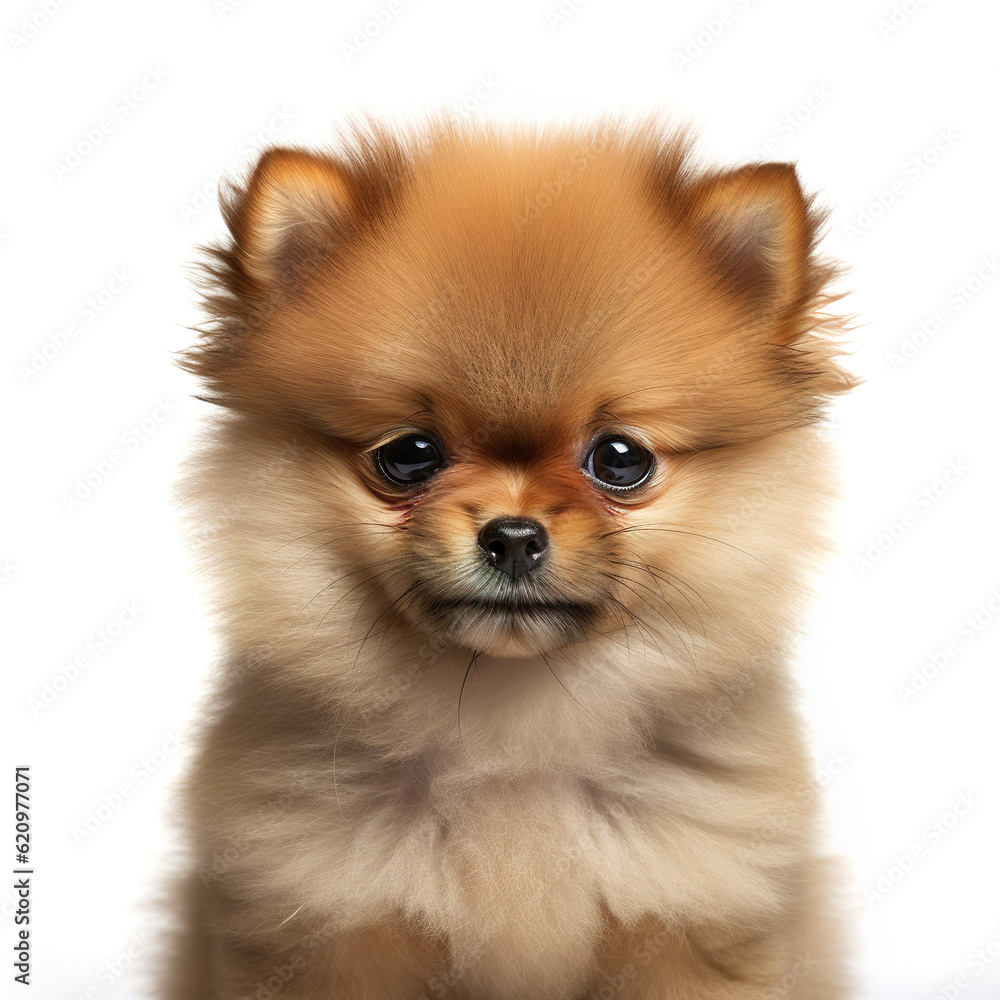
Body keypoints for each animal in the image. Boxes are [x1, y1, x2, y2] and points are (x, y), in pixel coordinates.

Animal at [160, 113, 856, 996]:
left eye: (620, 458)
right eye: (410, 454)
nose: (515, 535)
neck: (511, 745)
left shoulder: (687, 921)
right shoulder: (331, 924)